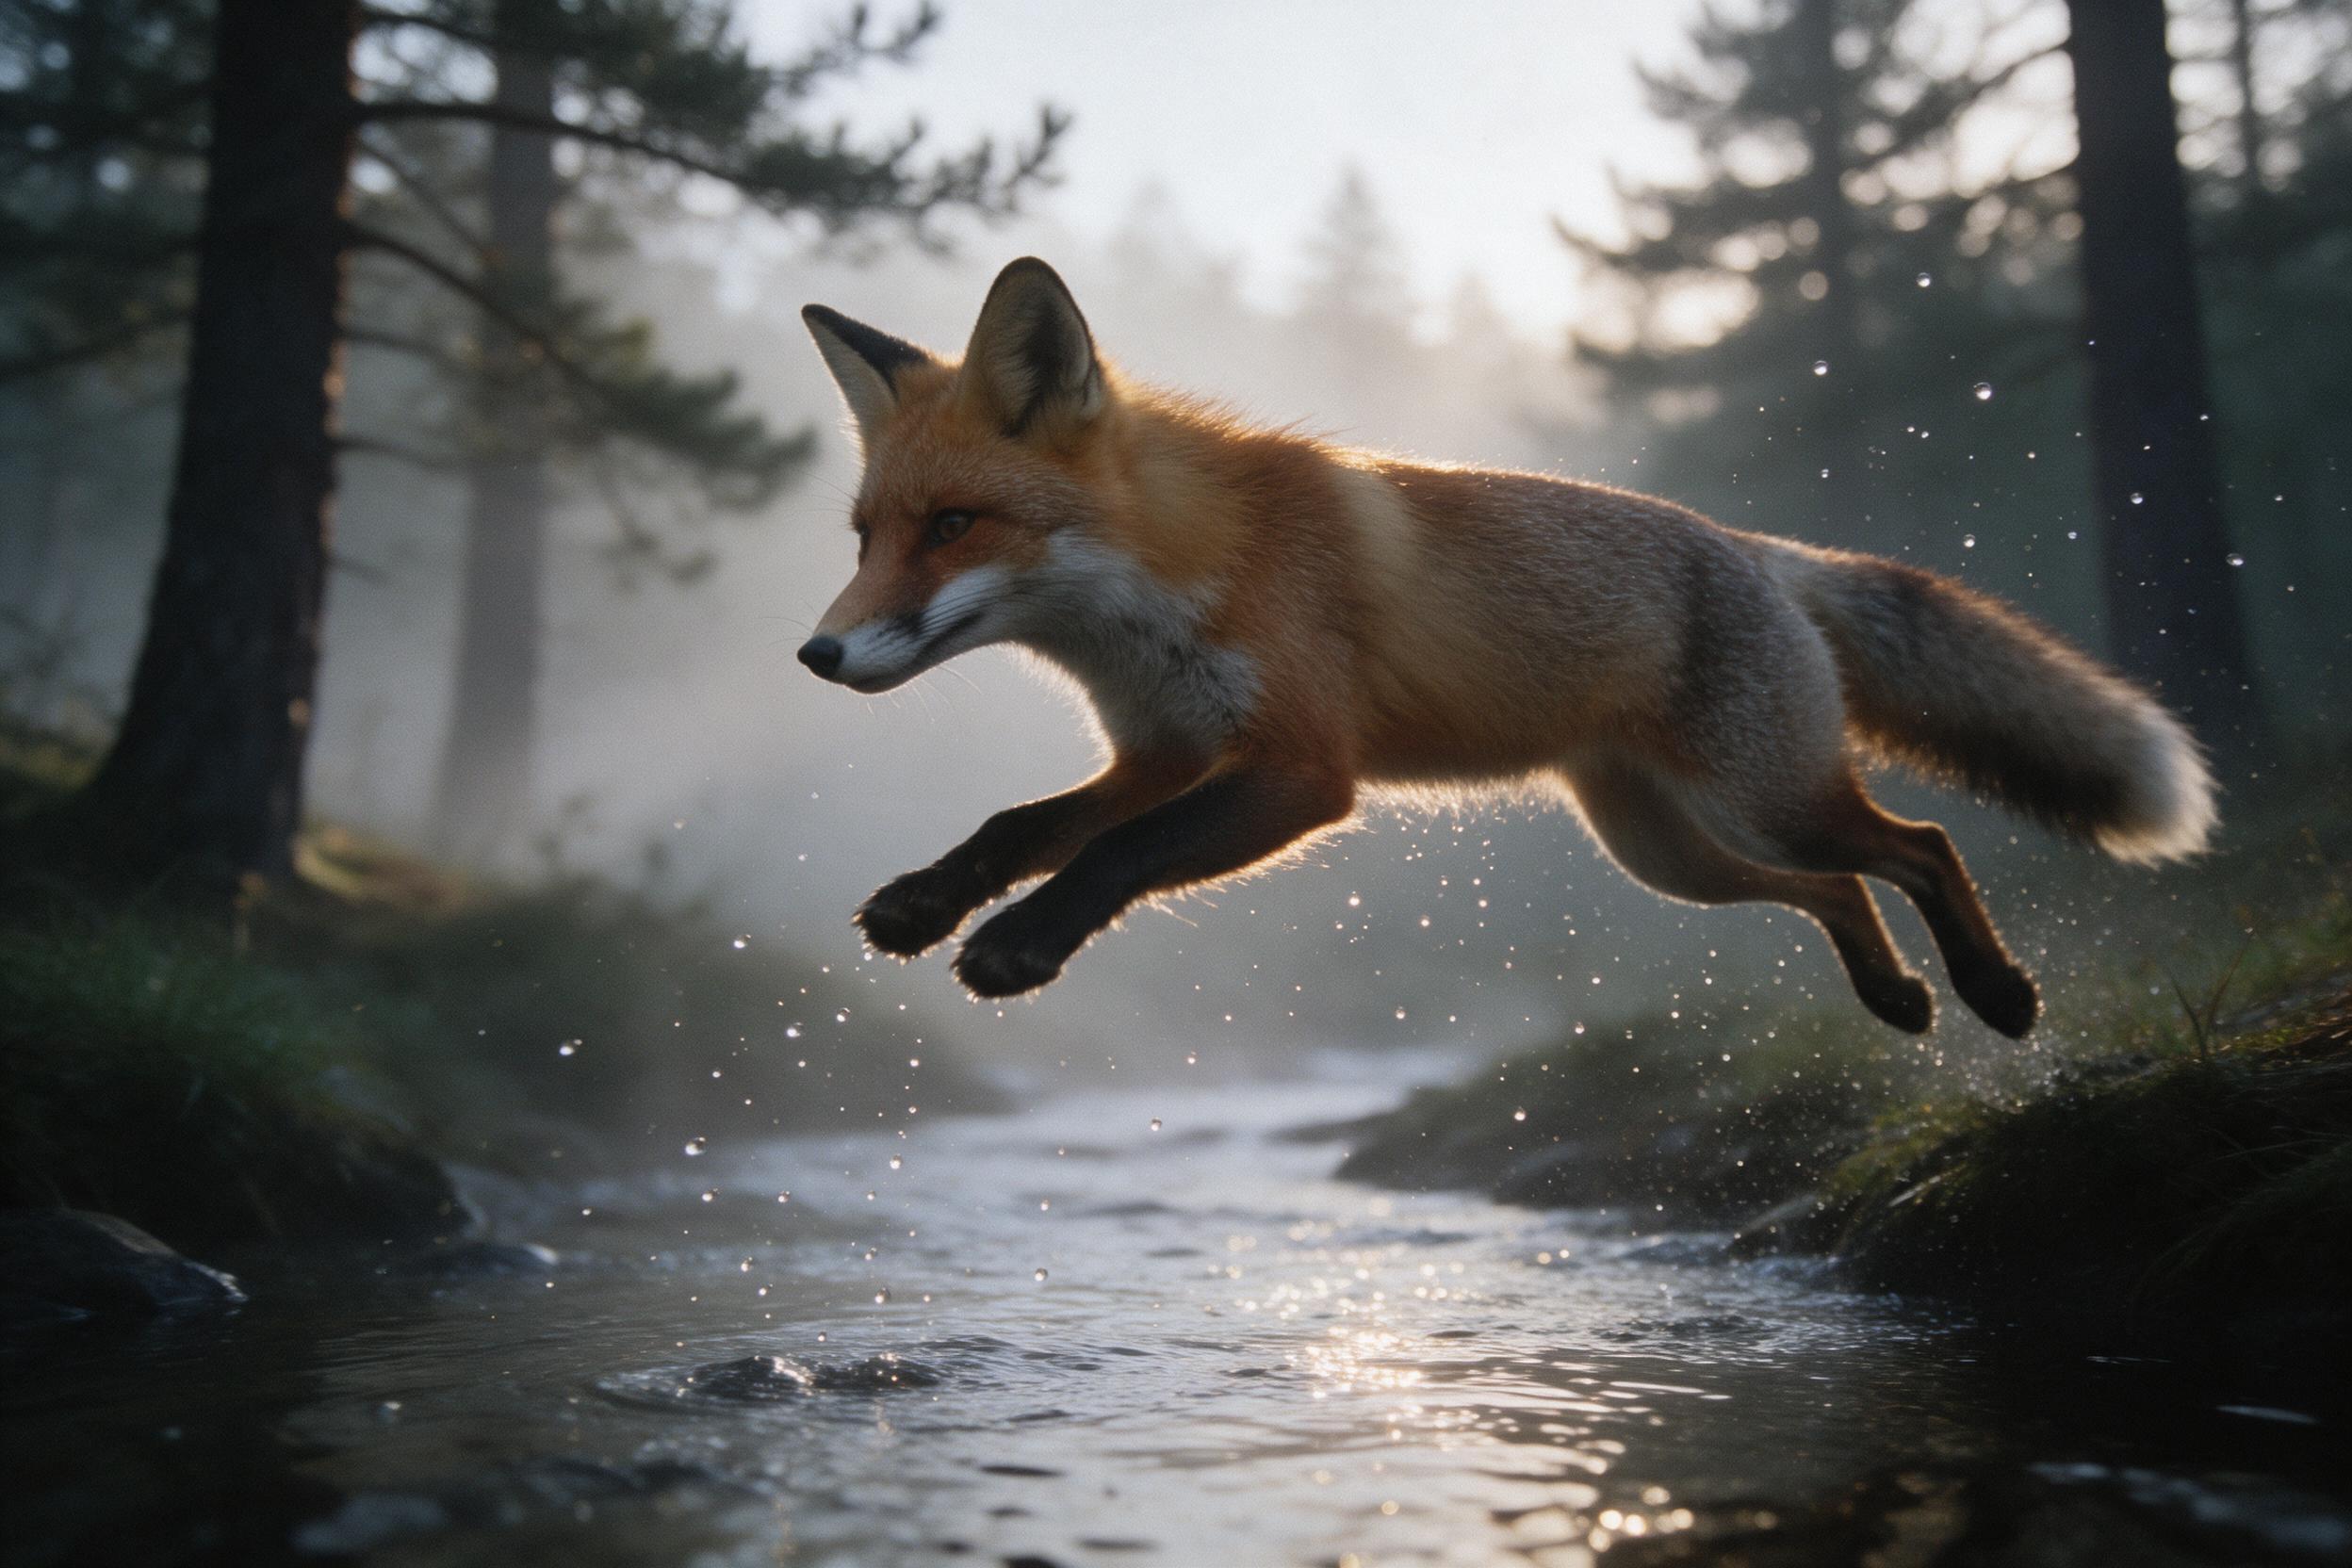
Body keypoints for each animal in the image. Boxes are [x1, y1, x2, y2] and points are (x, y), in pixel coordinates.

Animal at [792, 257, 2216, 1034]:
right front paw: (927, 899)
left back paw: (1996, 992)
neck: (1172, 587)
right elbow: (1021, 826)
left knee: (1919, 846)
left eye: (954, 525)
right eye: (863, 535)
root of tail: (1755, 548)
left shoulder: (1301, 771)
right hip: (1671, 855)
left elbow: (1113, 859)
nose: (816, 656)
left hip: (1770, 798)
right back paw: (1897, 997)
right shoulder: (1164, 751)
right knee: (1837, 890)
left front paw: (1017, 947)